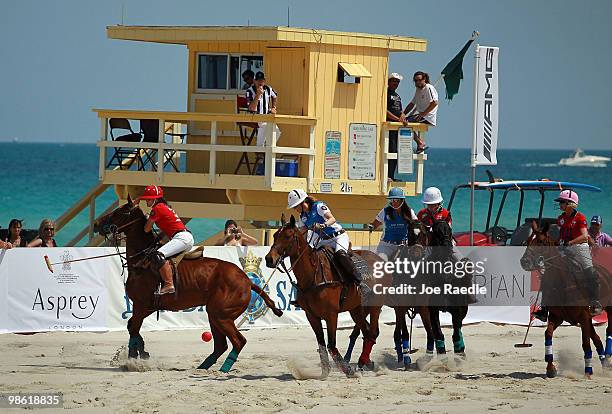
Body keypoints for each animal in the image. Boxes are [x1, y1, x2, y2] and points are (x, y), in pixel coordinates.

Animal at [94, 196, 284, 372]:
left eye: (120, 211)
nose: (96, 224)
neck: (142, 260)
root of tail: (247, 280)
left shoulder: (142, 304)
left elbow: (133, 327)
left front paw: (134, 359)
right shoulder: (148, 306)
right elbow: (132, 327)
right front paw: (141, 353)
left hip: (222, 315)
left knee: (238, 341)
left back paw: (223, 369)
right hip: (214, 314)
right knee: (221, 345)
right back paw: (203, 367)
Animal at [264, 217, 382, 378]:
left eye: (288, 236)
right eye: (275, 235)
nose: (269, 259)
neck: (313, 274)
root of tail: (380, 258)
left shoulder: (331, 315)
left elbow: (331, 344)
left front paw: (347, 370)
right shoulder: (311, 315)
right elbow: (321, 344)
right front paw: (325, 372)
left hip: (375, 305)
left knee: (372, 332)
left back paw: (362, 364)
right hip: (356, 308)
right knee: (367, 331)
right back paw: (365, 362)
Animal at [520, 222, 612, 376]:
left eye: (540, 241)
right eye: (527, 241)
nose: (524, 262)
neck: (562, 282)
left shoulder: (583, 316)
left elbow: (585, 343)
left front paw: (588, 371)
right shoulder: (557, 317)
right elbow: (548, 334)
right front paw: (550, 368)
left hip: (609, 310)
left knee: (607, 331)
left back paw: (607, 357)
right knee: (597, 338)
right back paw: (605, 362)